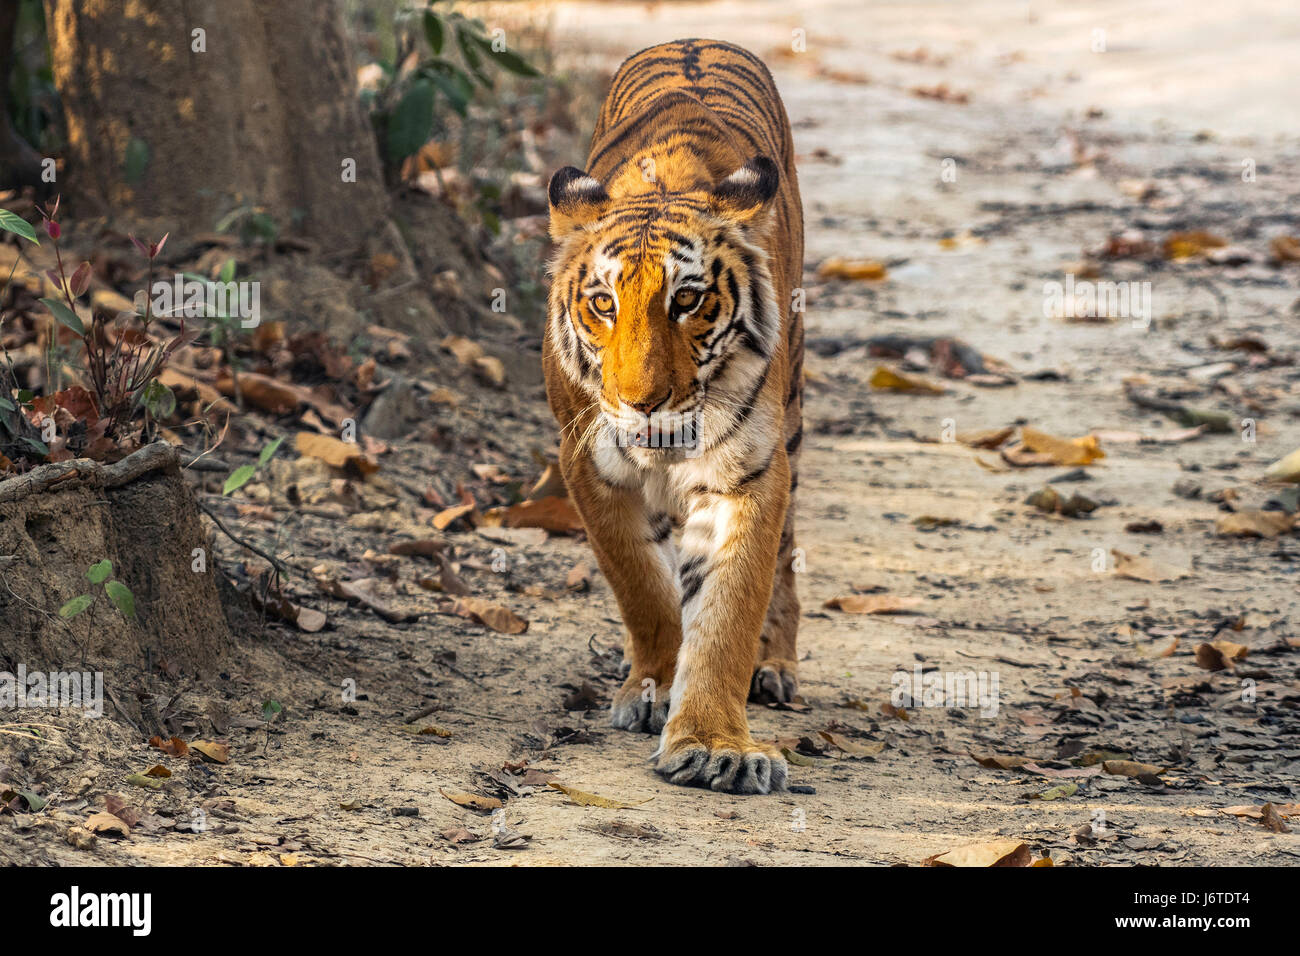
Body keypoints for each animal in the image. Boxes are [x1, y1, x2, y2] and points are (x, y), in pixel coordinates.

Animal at [540, 39, 800, 790]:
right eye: (603, 303)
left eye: (687, 300)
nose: (641, 401)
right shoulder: (586, 463)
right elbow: (642, 587)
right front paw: (652, 687)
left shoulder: (749, 472)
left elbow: (728, 610)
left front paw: (716, 743)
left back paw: (777, 665)